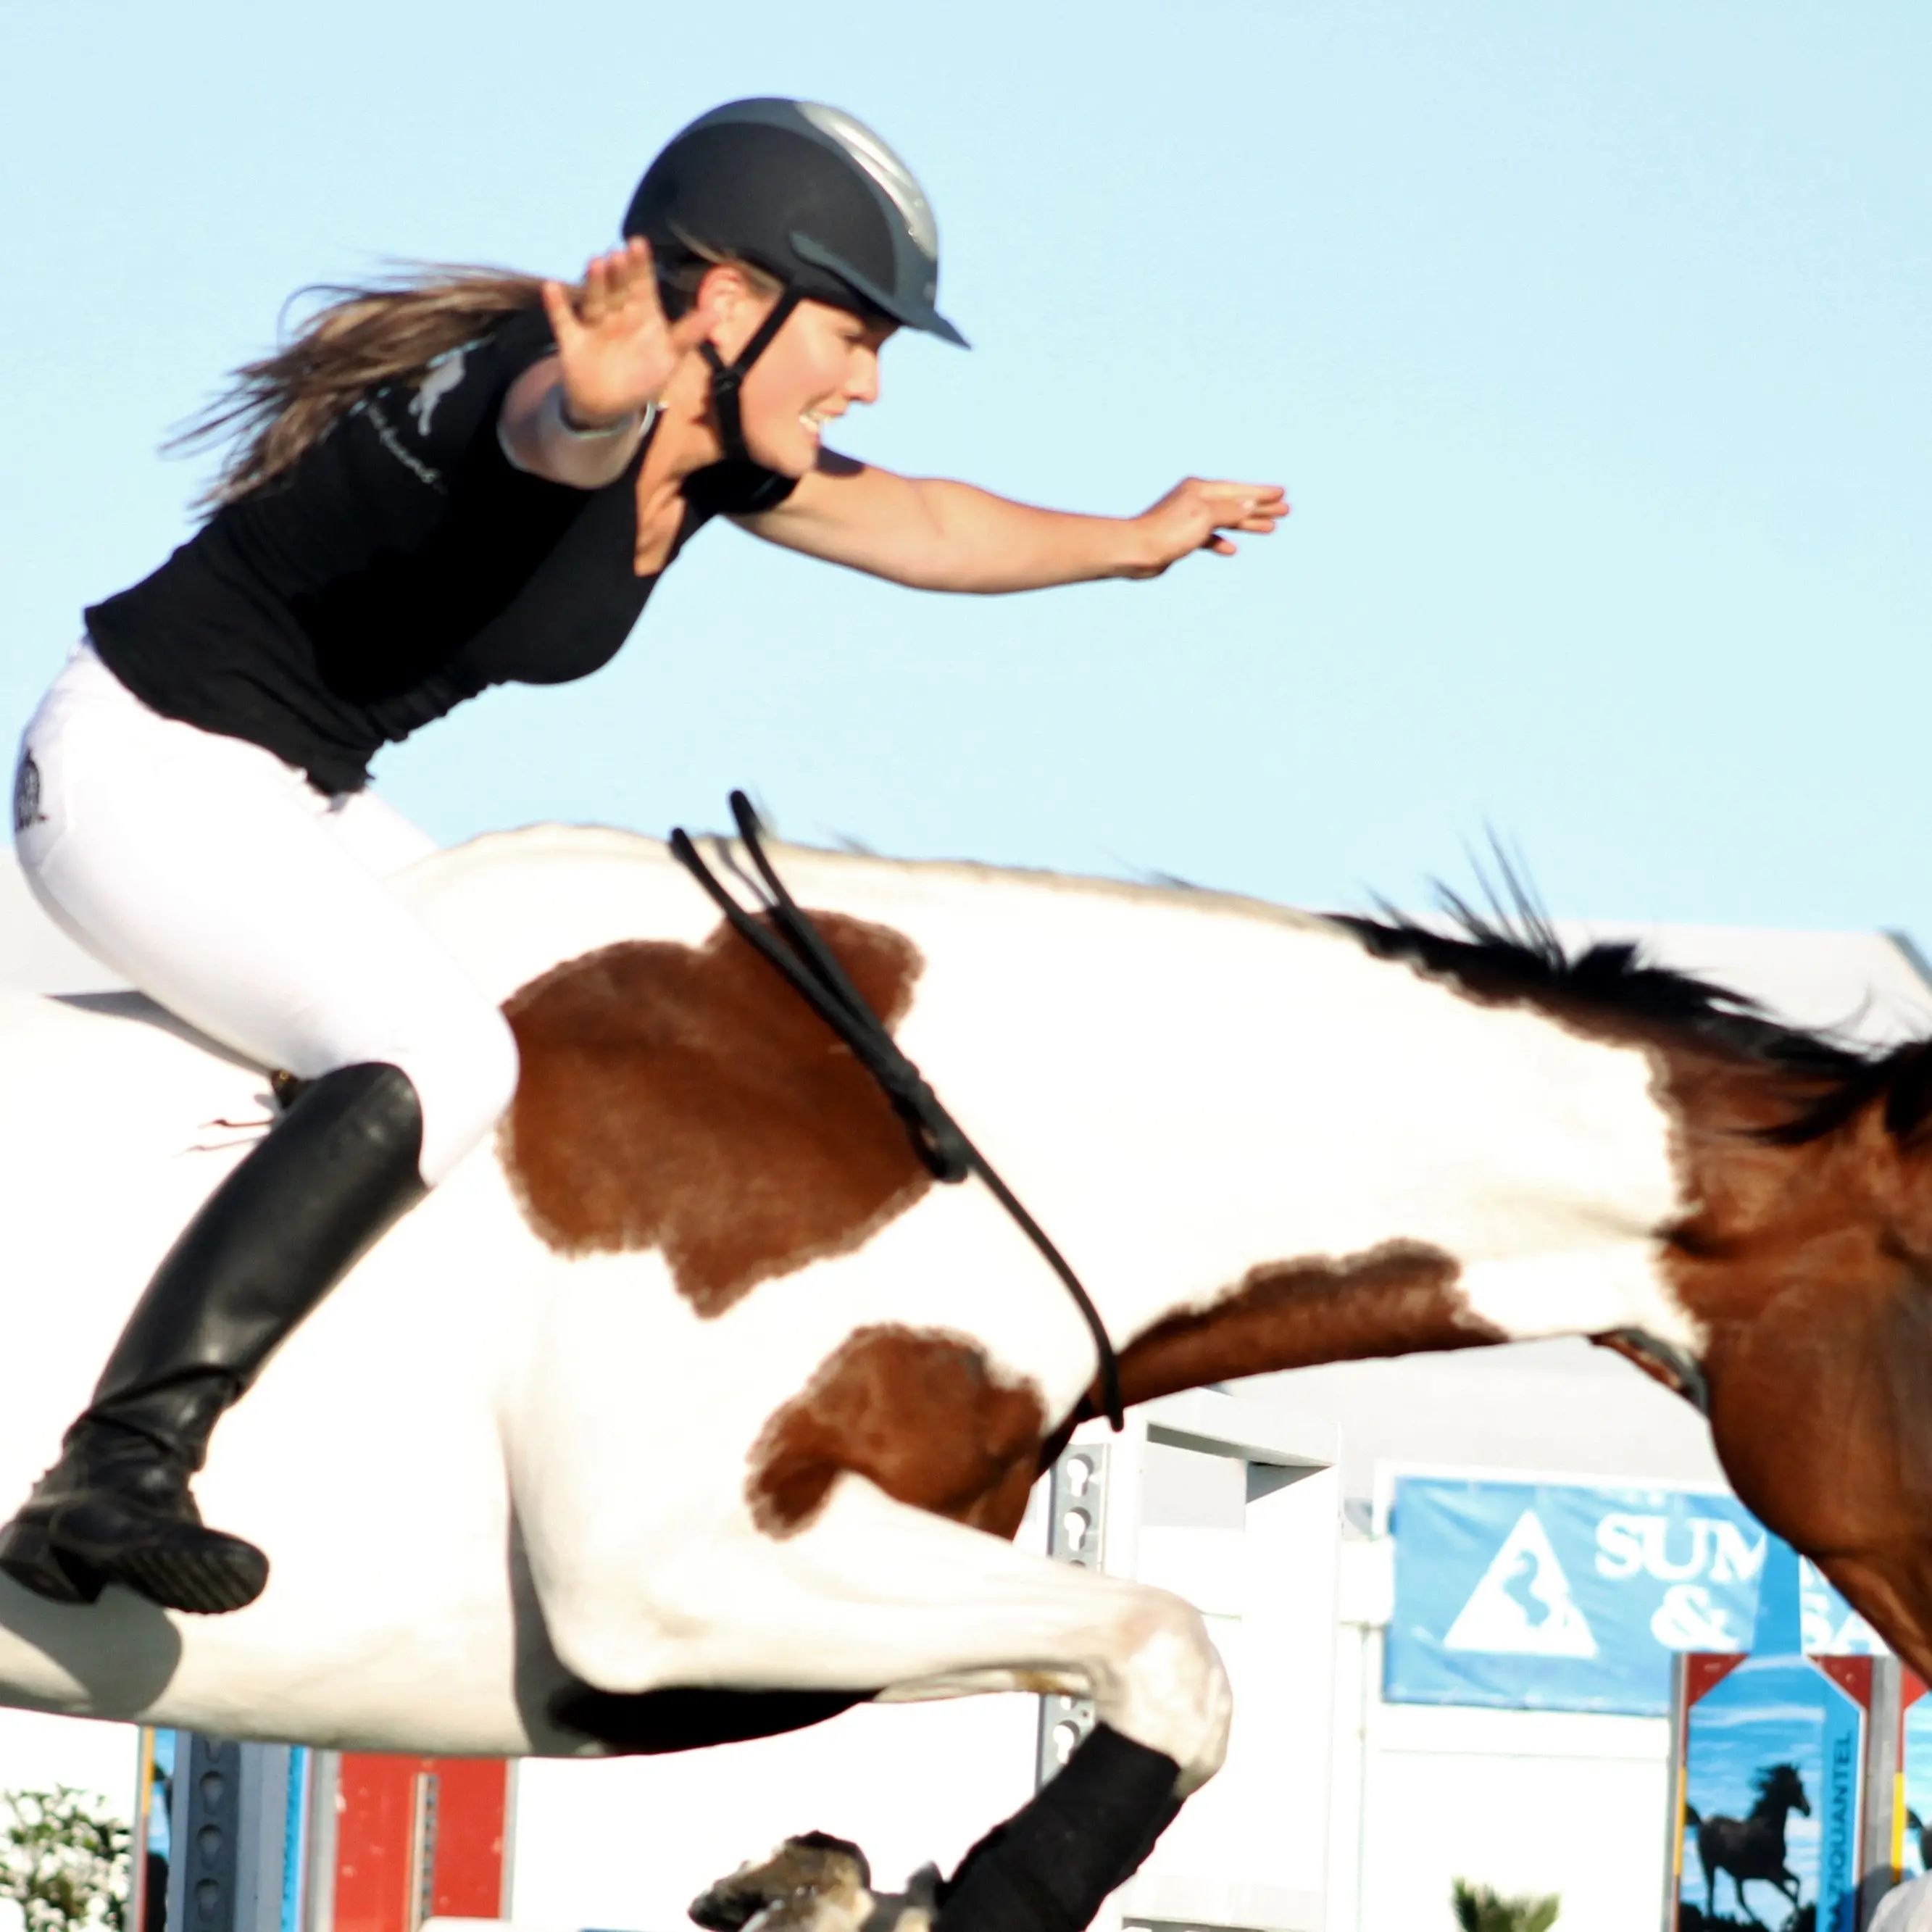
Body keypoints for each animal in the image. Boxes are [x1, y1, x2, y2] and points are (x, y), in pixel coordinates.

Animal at [1687, 1762, 1811, 1927]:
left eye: (1801, 1784)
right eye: (1793, 1787)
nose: (1808, 1810)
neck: (1769, 1829)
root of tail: (1702, 1823)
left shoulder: (1780, 1870)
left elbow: (1798, 1884)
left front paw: (1790, 1921)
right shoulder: (1773, 1875)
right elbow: (1791, 1896)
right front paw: (1791, 1922)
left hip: (1738, 1876)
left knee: (1740, 1900)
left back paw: (1757, 1921)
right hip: (1709, 1866)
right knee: (1712, 1895)